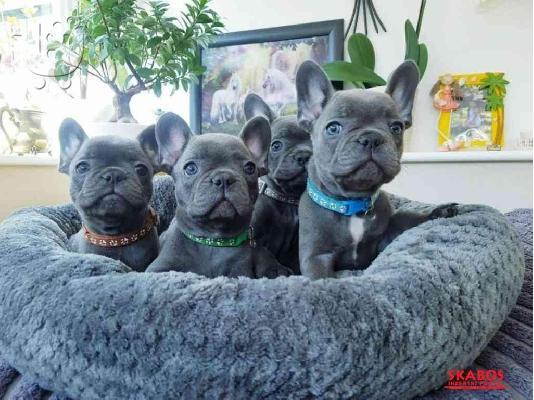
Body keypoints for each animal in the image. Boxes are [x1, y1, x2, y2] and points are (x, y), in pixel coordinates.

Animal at [146, 112, 291, 278]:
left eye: (250, 168)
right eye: (190, 168)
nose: (224, 178)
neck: (213, 240)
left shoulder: (239, 271)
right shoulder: (159, 268)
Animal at [244, 93, 312, 274]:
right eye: (276, 145)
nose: (304, 155)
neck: (287, 199)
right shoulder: (253, 234)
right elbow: (262, 253)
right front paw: (275, 270)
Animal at [296, 60, 459, 279]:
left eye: (396, 128)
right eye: (333, 128)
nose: (372, 137)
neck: (353, 205)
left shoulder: (388, 232)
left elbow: (409, 218)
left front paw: (438, 212)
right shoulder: (316, 256)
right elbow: (320, 277)